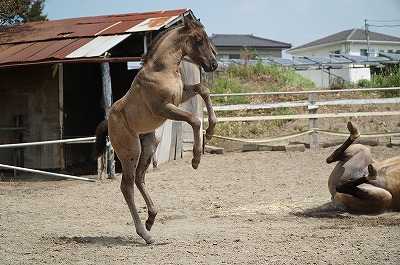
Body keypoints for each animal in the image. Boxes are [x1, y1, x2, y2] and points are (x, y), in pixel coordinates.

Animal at [92, 16, 217, 243]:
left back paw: (151, 218)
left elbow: (203, 89)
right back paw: (146, 234)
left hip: (149, 145)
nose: (214, 64)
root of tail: (109, 122)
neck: (163, 69)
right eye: (198, 40)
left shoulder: (181, 96)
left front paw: (211, 131)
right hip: (131, 151)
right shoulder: (164, 108)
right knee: (127, 186)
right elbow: (194, 120)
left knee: (140, 178)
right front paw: (196, 159)